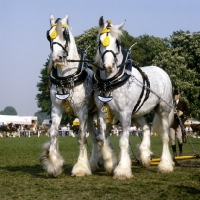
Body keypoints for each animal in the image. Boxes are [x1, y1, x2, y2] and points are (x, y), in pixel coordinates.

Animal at [39, 13, 98, 177]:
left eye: (65, 34)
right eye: (48, 35)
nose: (57, 58)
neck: (67, 77)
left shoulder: (81, 111)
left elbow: (81, 137)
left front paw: (81, 167)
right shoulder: (56, 109)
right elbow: (53, 132)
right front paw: (54, 164)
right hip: (90, 116)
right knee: (95, 137)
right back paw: (95, 163)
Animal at [93, 16, 174, 180]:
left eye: (117, 42)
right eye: (100, 41)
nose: (109, 66)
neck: (111, 82)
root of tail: (161, 70)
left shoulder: (125, 114)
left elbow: (123, 141)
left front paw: (122, 170)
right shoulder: (102, 113)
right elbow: (101, 138)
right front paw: (110, 163)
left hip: (163, 109)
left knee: (165, 136)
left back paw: (165, 165)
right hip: (137, 113)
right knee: (146, 128)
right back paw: (145, 156)